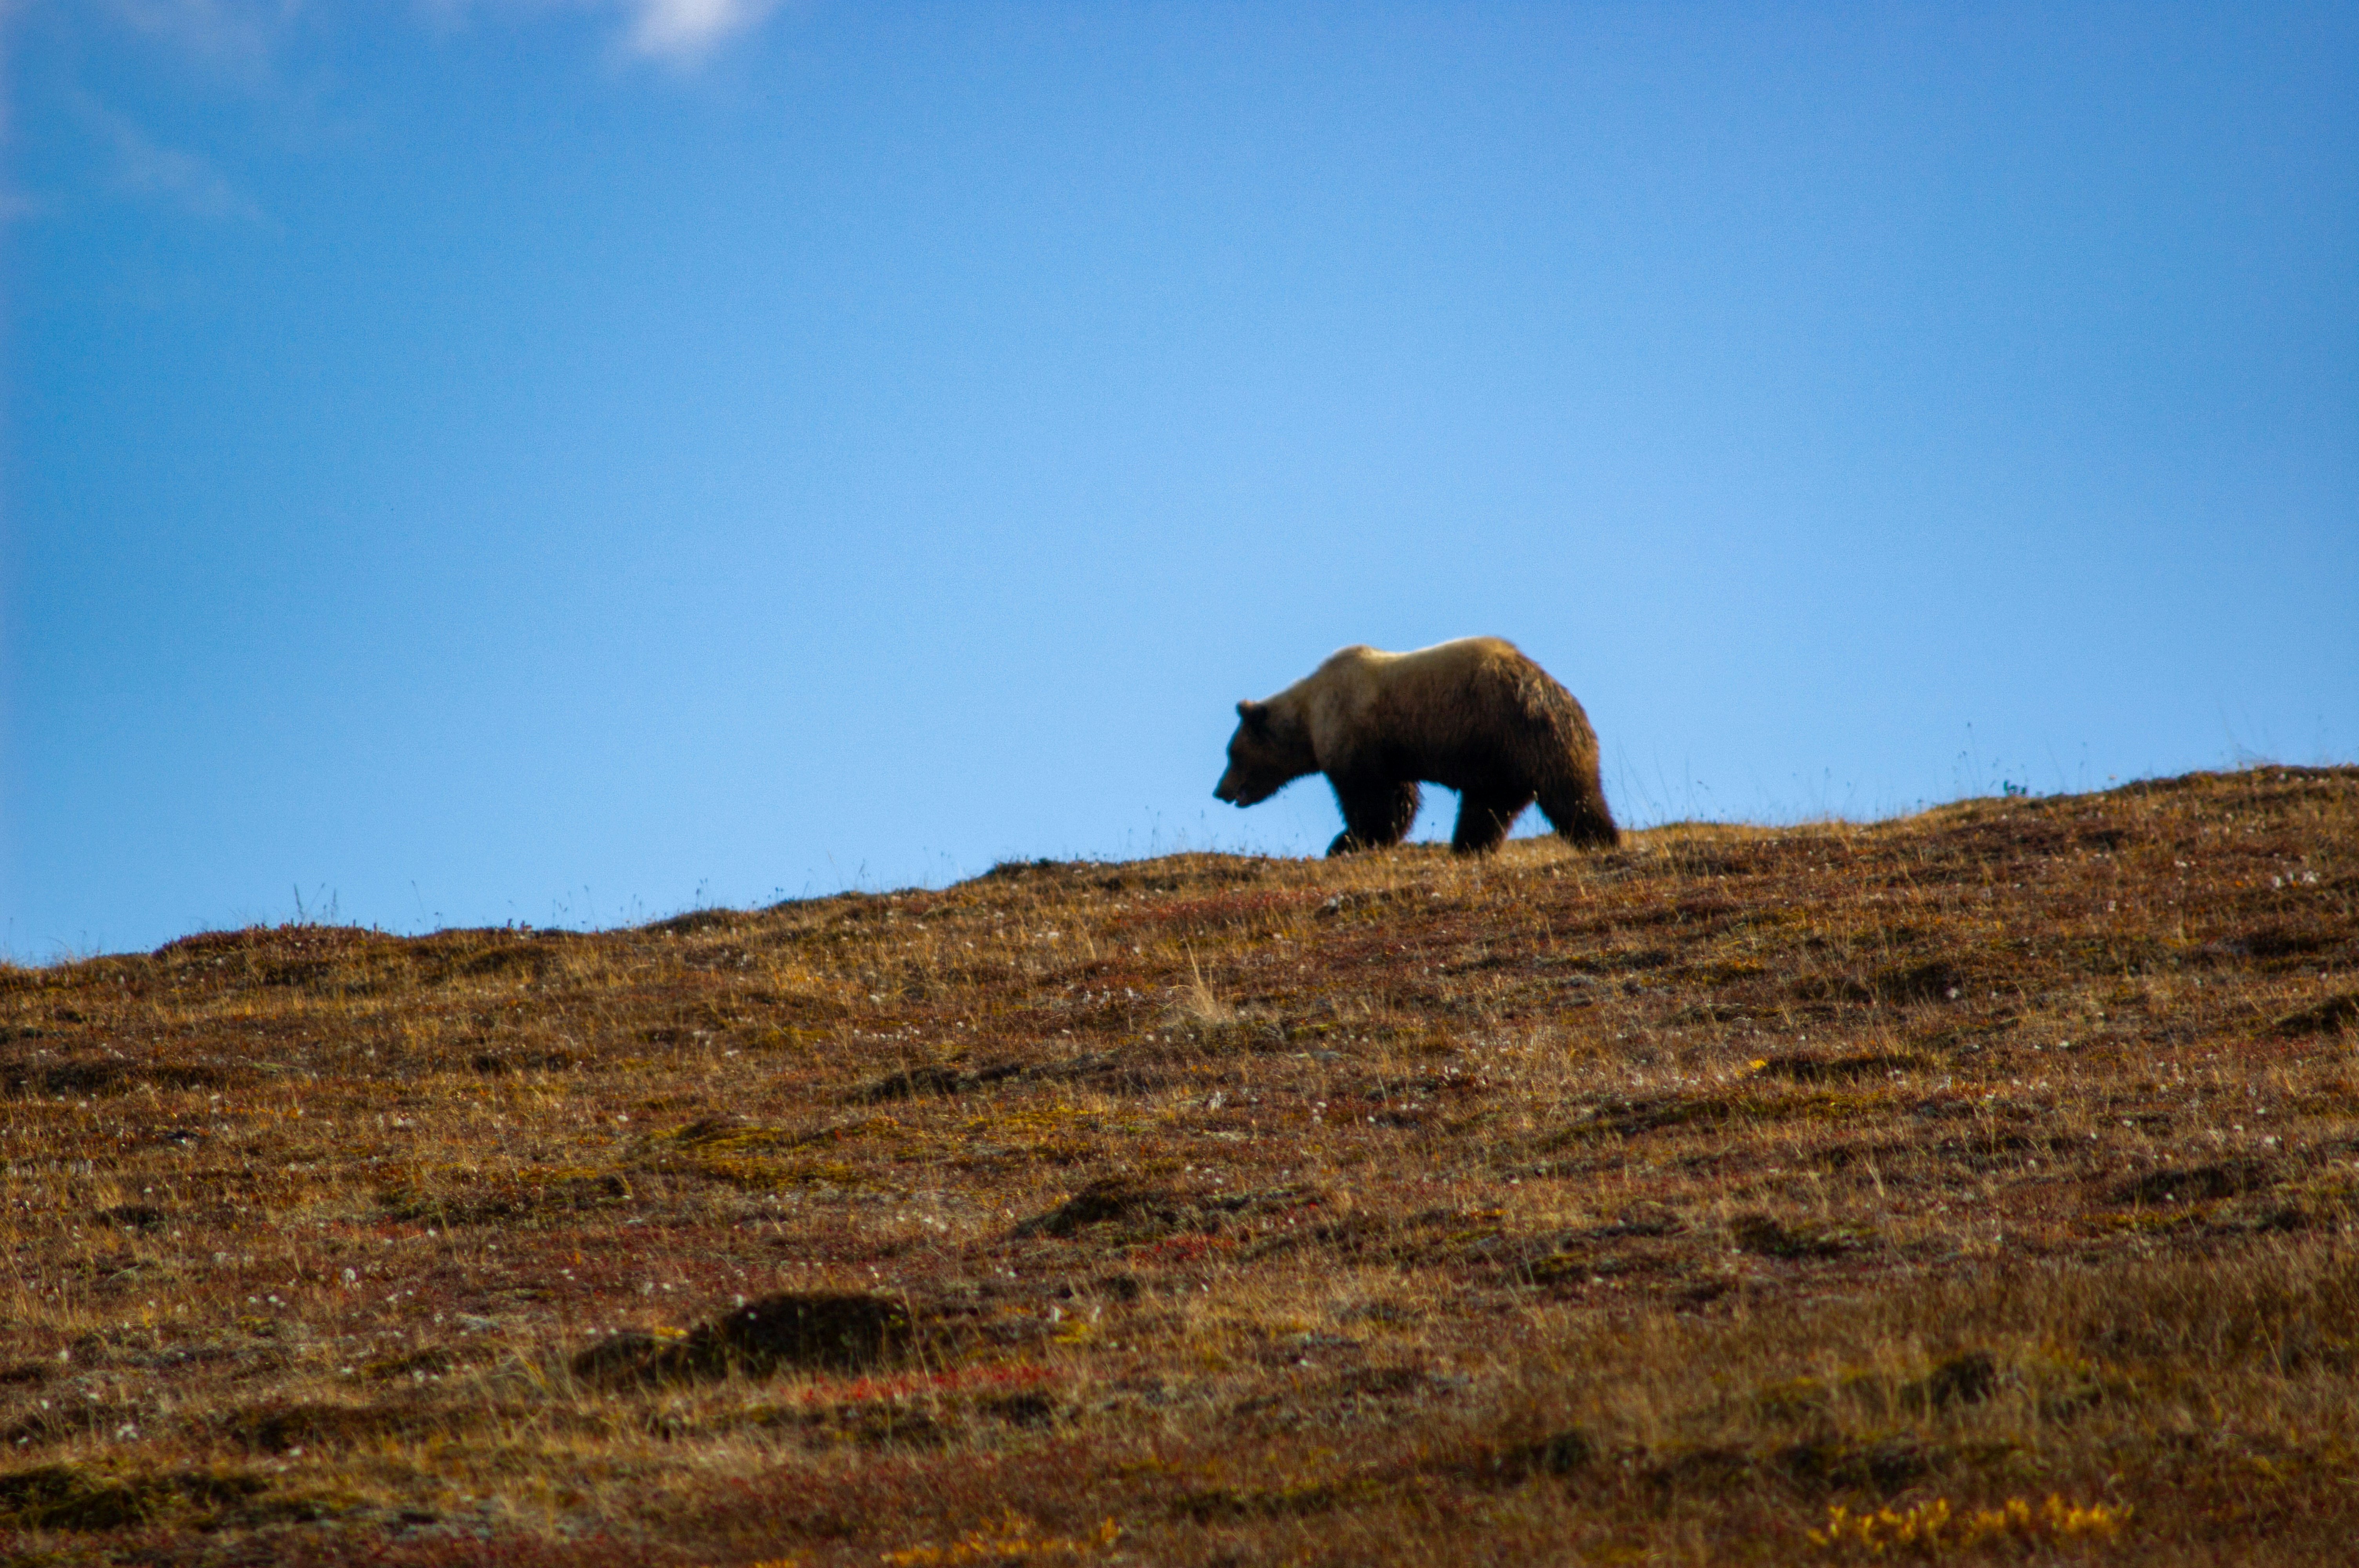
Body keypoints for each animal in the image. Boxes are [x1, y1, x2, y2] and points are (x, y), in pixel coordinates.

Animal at [1212, 637, 1618, 857]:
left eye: (1232, 754)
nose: (1220, 790)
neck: (1309, 720)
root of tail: (1552, 689)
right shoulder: (1391, 752)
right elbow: (1400, 801)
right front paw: (1359, 840)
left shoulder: (1354, 733)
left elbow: (1370, 800)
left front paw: (1347, 843)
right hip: (1501, 760)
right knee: (1487, 809)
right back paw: (1467, 848)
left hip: (1518, 733)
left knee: (1572, 798)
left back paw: (1602, 840)